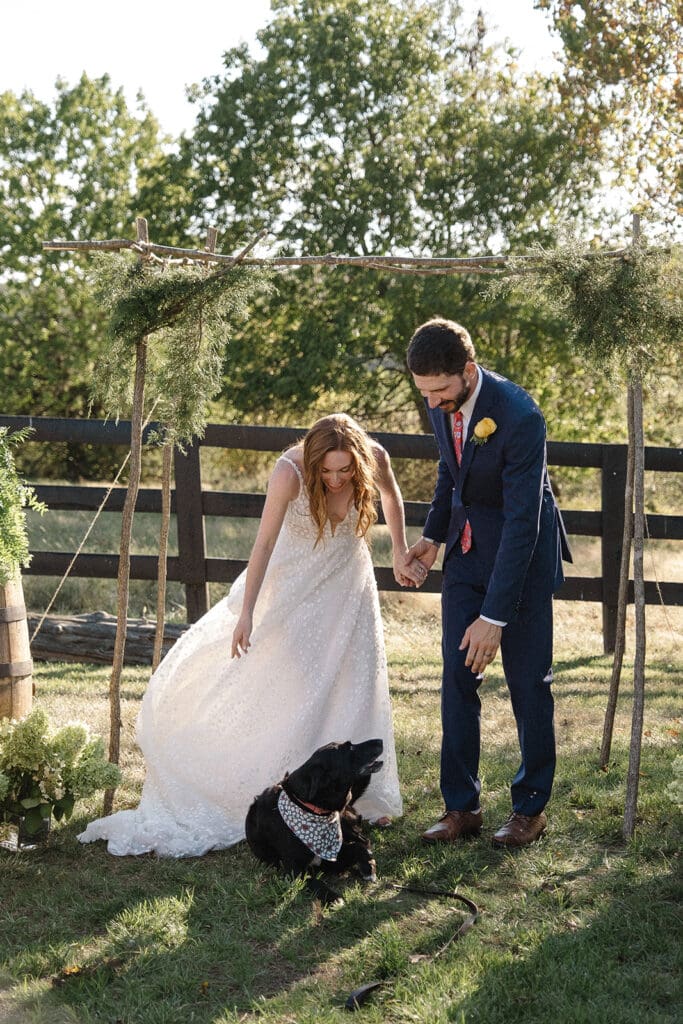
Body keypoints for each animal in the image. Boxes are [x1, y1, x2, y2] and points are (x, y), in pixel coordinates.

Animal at [245, 737, 385, 905]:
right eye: (349, 748)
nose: (380, 740)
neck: (306, 806)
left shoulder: (331, 856)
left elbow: (358, 848)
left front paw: (368, 867)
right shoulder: (295, 869)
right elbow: (314, 882)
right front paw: (333, 898)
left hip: (344, 823)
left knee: (363, 840)